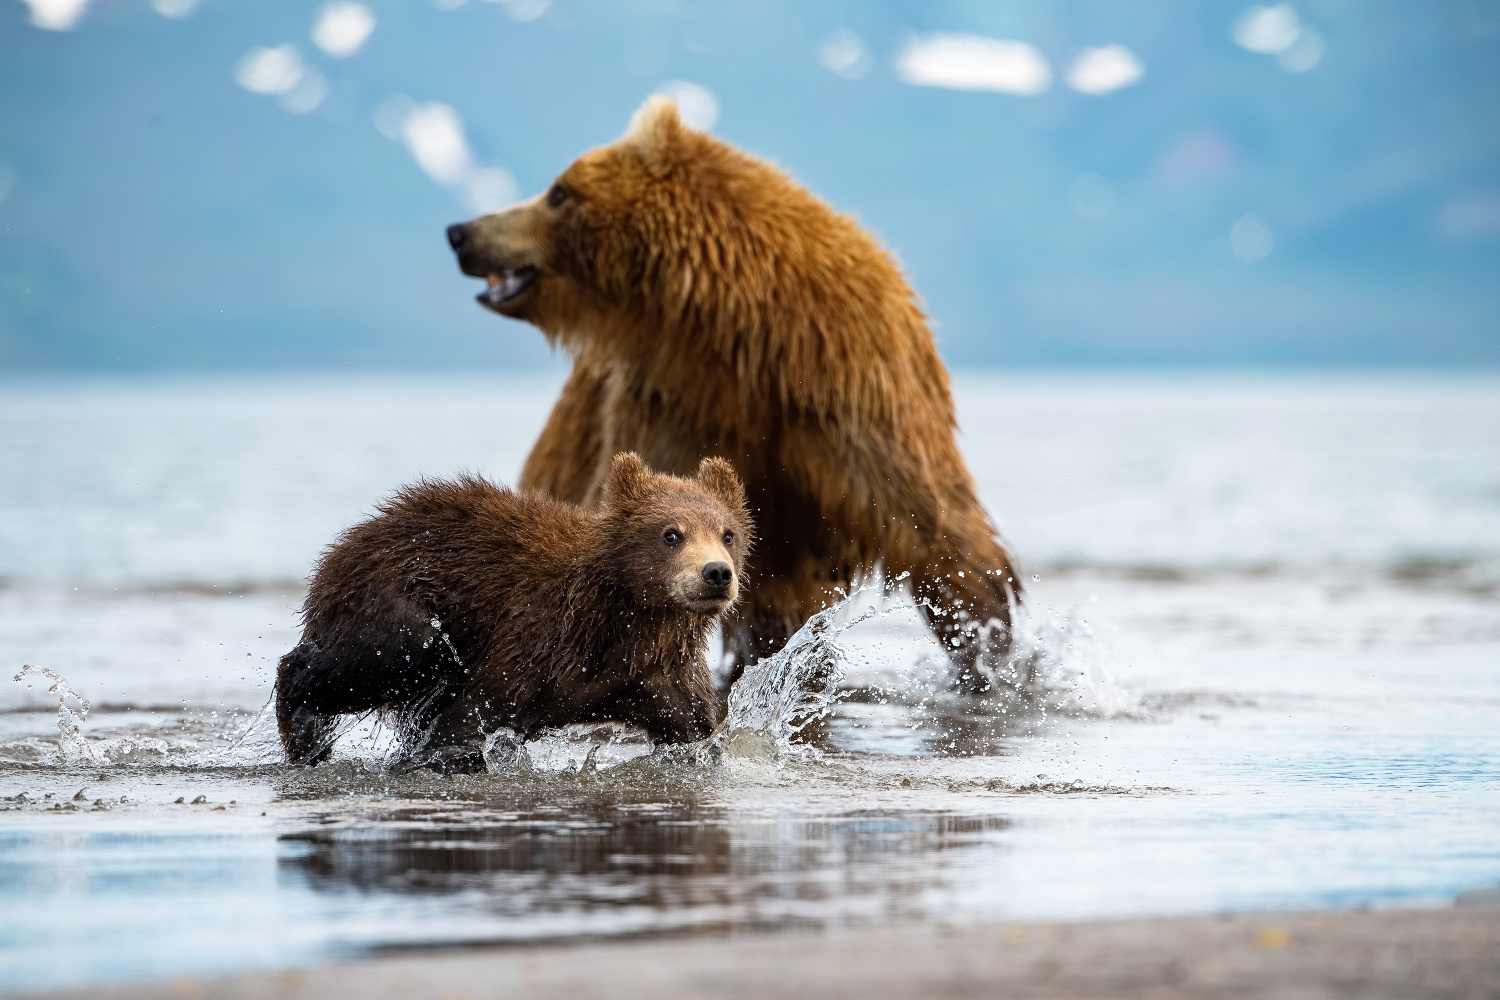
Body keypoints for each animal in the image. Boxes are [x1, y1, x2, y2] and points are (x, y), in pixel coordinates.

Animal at [444, 95, 1026, 689]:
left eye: (560, 191)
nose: (461, 231)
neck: (741, 334)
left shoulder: (853, 395)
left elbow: (939, 532)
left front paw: (990, 652)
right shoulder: (670, 408)